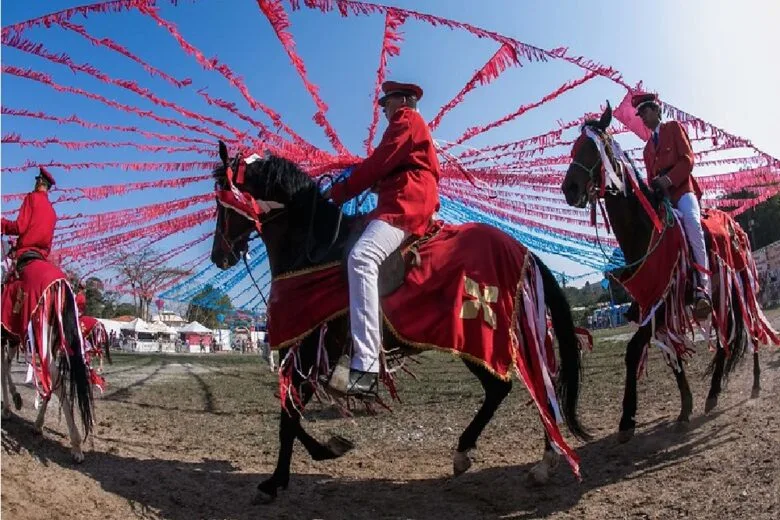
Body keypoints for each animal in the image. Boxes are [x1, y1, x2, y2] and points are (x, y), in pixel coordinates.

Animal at [210, 142, 588, 504]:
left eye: (221, 200)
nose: (219, 256)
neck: (313, 249)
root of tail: (522, 250)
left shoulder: (314, 348)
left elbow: (288, 416)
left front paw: (278, 479)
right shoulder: (309, 354)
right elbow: (289, 412)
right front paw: (320, 453)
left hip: (482, 336)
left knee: (518, 388)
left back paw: (517, 459)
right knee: (531, 388)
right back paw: (519, 459)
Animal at [560, 104, 772, 442]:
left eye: (594, 148)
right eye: (574, 148)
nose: (570, 189)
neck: (646, 231)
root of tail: (736, 225)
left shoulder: (661, 302)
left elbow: (633, 351)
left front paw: (627, 420)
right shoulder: (655, 305)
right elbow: (672, 356)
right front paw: (685, 407)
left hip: (740, 290)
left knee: (750, 330)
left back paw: (754, 385)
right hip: (720, 300)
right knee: (725, 341)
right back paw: (713, 394)